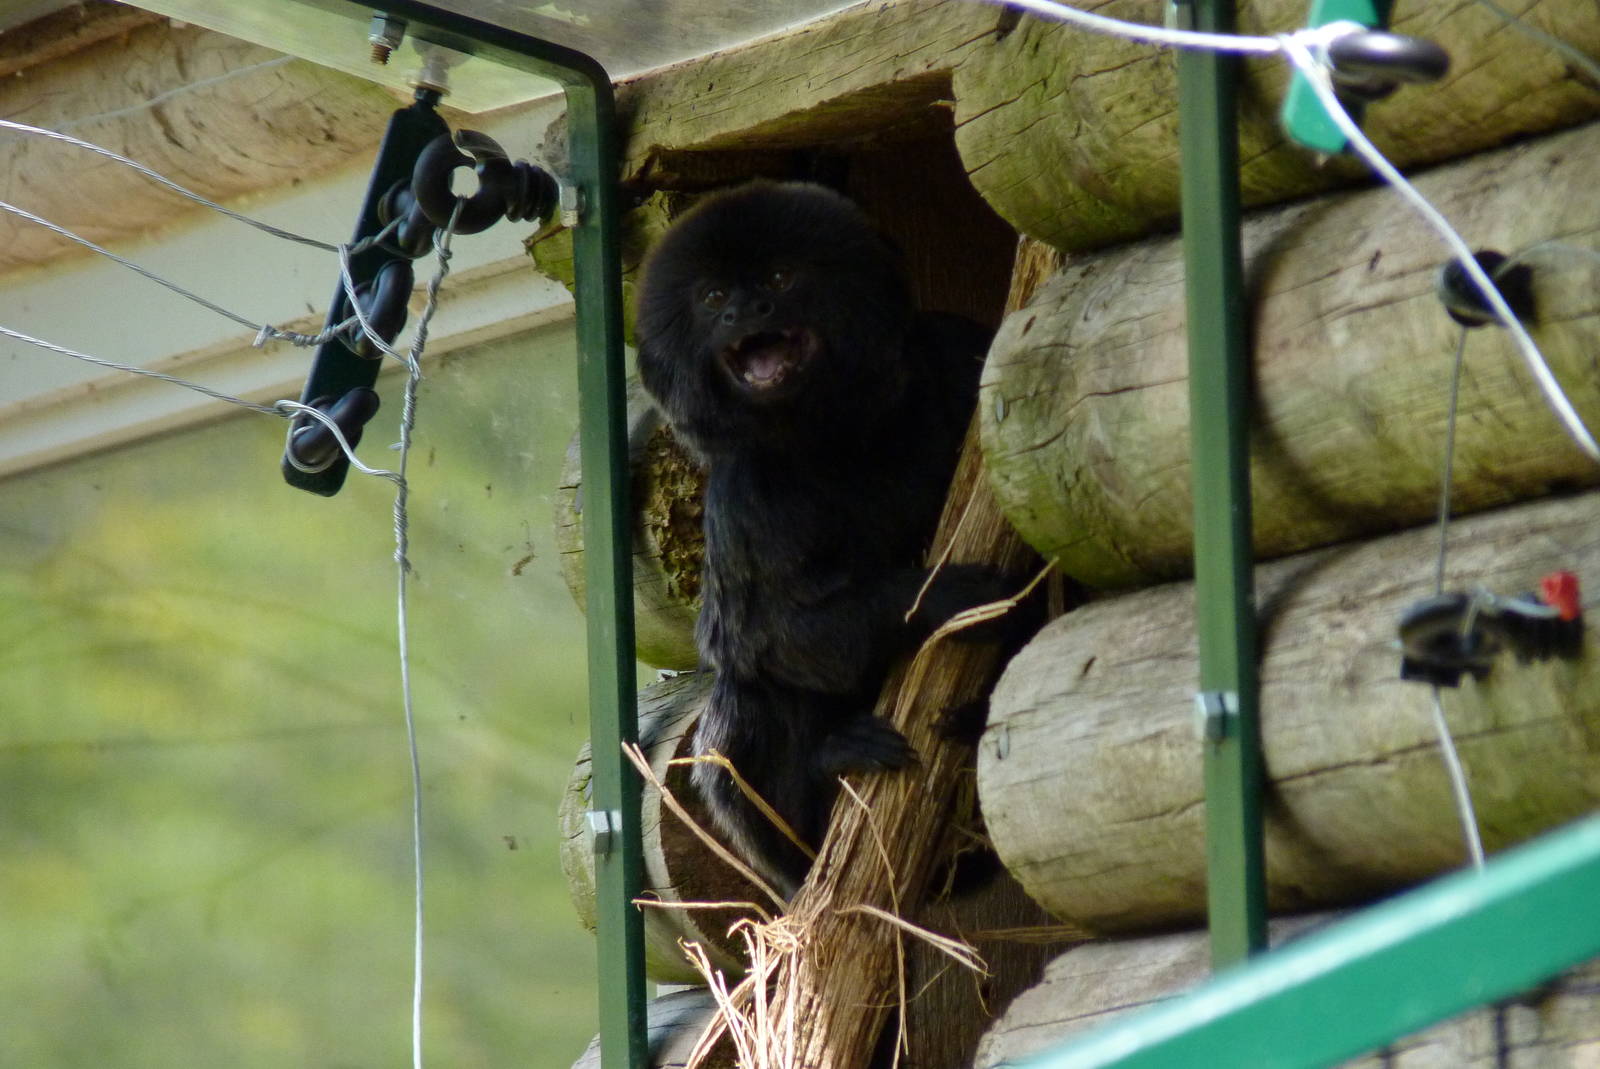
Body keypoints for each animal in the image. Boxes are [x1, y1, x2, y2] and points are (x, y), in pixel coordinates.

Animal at [635, 180, 1012, 898]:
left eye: (780, 279)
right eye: (713, 298)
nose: (746, 312)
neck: (837, 435)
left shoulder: (958, 351)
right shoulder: (745, 492)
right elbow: (763, 639)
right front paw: (943, 597)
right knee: (740, 707)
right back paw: (827, 771)